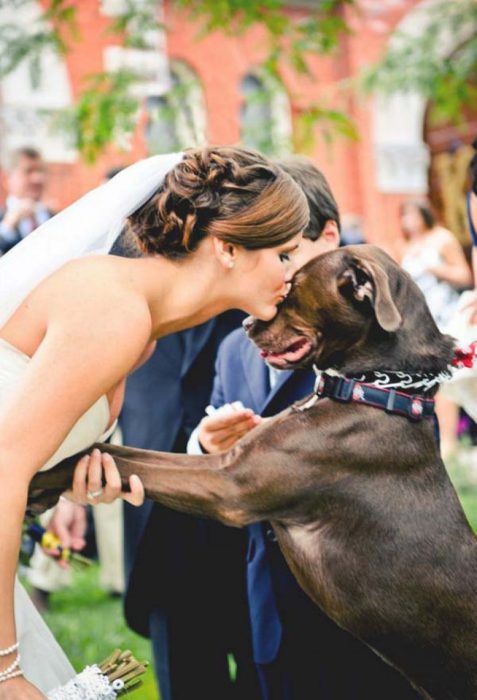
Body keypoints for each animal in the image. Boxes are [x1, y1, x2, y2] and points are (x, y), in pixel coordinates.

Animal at [30, 245, 476, 696]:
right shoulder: (227, 461)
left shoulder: (228, 483)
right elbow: (119, 450)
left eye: (294, 285)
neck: (375, 389)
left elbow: (126, 460)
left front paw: (39, 478)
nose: (244, 322)